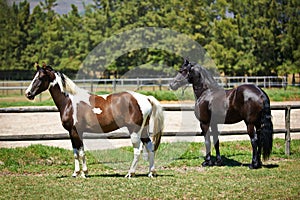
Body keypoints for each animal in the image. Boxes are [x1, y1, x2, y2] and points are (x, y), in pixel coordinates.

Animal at [25, 63, 164, 177]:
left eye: (40, 78)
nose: (28, 93)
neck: (70, 102)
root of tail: (146, 98)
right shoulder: (72, 133)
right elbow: (76, 152)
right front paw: (76, 173)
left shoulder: (75, 131)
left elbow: (81, 152)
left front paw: (84, 173)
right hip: (143, 130)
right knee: (150, 146)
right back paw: (151, 173)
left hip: (134, 131)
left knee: (137, 150)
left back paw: (130, 173)